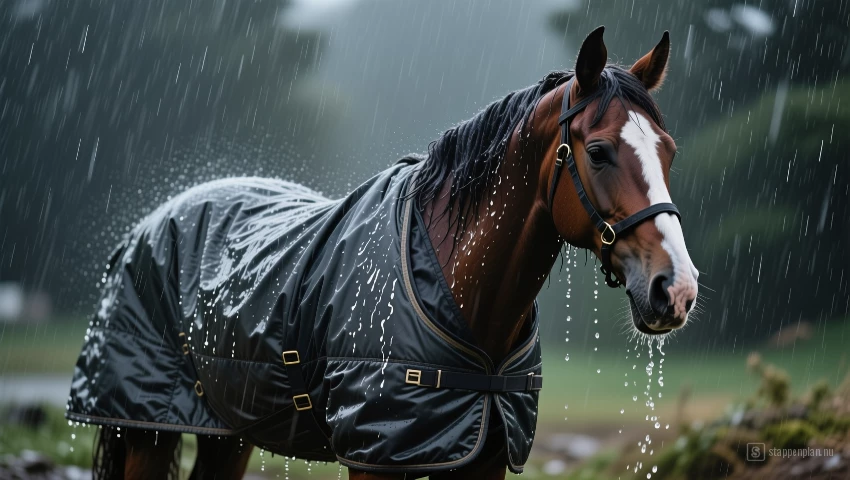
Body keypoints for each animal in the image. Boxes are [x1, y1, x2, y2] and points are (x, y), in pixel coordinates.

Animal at [67, 26, 699, 479]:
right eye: (598, 151)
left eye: (668, 150)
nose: (677, 289)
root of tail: (152, 224)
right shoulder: (375, 458)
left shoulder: (481, 460)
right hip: (146, 430)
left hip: (229, 435)